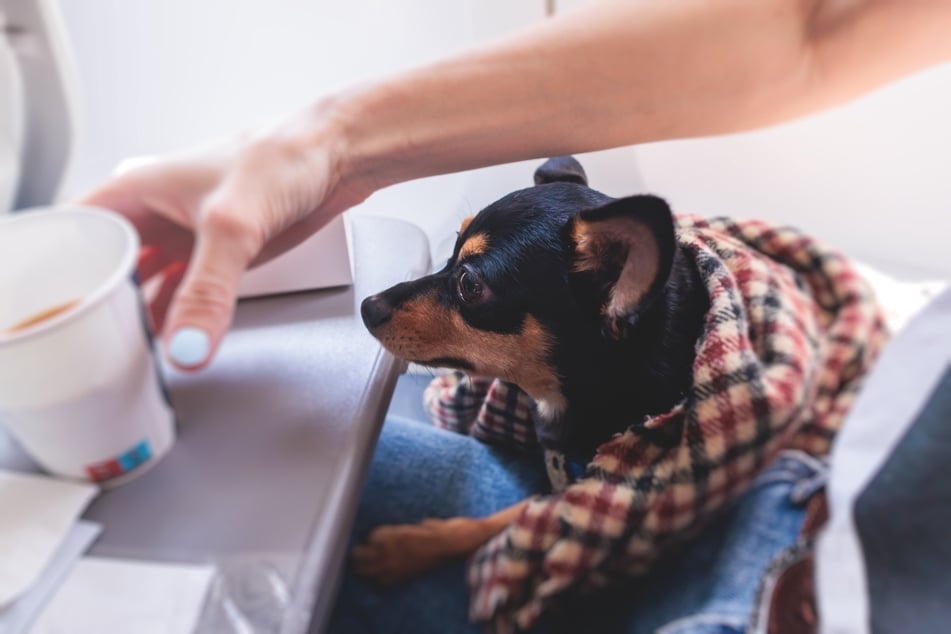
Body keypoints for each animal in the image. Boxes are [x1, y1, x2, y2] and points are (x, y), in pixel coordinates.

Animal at [354, 154, 712, 584]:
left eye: (468, 283)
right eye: (451, 250)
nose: (367, 306)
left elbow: (516, 515)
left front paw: (404, 548)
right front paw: (409, 545)